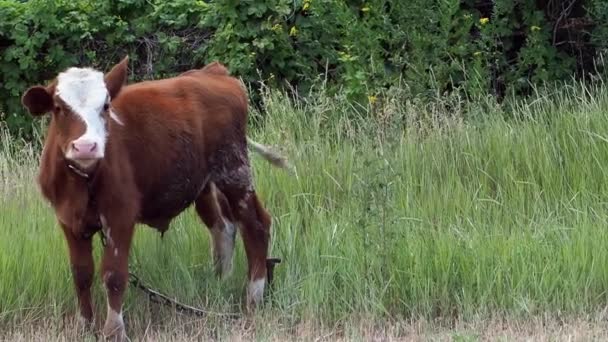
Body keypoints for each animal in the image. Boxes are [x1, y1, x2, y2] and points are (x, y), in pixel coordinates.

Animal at [22, 57, 290, 340]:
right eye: (59, 107)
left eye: (105, 106)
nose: (86, 146)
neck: (85, 180)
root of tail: (213, 72)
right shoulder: (68, 219)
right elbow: (81, 274)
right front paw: (85, 326)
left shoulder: (120, 215)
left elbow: (114, 275)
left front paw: (114, 330)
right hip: (206, 184)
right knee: (223, 227)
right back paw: (221, 282)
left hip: (234, 170)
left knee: (256, 225)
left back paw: (253, 299)